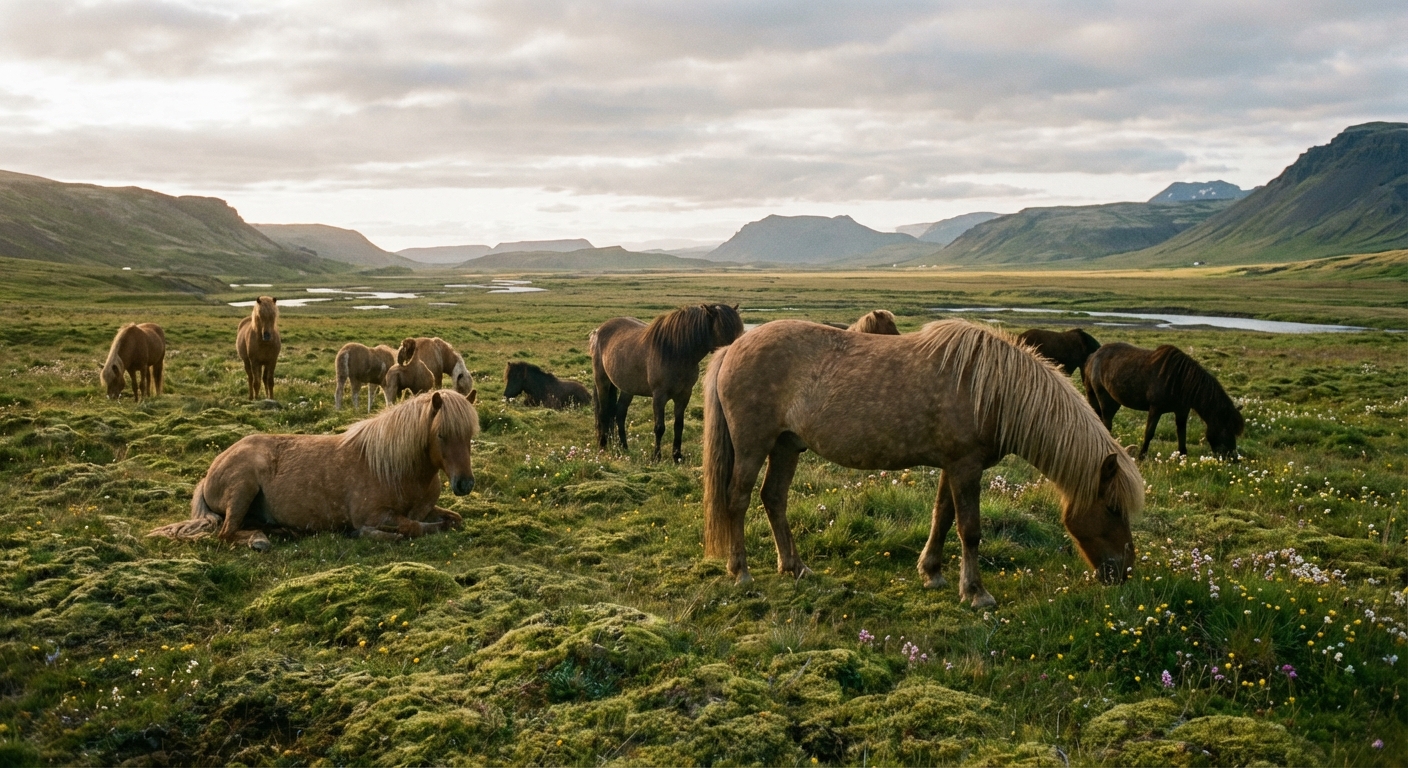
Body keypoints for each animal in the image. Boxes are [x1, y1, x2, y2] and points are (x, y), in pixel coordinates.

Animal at [148, 390, 478, 550]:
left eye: (470, 434)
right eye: (441, 435)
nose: (464, 484)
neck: (396, 469)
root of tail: (209, 472)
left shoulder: (427, 509)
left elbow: (453, 519)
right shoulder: (374, 515)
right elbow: (411, 528)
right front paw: (370, 535)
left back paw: (282, 531)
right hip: (242, 487)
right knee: (227, 533)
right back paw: (260, 541)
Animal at [590, 303, 744, 462]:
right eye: (723, 328)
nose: (735, 356)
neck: (675, 352)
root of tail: (598, 331)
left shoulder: (684, 395)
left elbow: (679, 425)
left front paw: (677, 456)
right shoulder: (659, 396)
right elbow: (659, 427)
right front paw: (656, 457)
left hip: (627, 388)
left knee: (619, 413)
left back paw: (624, 447)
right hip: (602, 381)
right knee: (603, 412)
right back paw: (603, 445)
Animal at [702, 319, 1143, 607]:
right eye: (1112, 508)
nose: (1124, 573)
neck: (993, 389)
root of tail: (731, 349)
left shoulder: (955, 465)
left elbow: (942, 517)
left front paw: (932, 573)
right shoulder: (965, 467)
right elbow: (969, 530)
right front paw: (977, 593)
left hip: (786, 446)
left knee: (774, 498)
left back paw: (795, 567)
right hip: (753, 446)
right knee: (738, 500)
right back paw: (740, 571)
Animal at [1083, 342, 1244, 459]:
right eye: (1226, 429)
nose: (1233, 458)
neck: (1180, 380)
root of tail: (1093, 355)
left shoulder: (1182, 411)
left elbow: (1181, 432)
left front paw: (1182, 455)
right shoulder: (1155, 409)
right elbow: (1149, 432)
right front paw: (1142, 456)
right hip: (1103, 398)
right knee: (1106, 422)